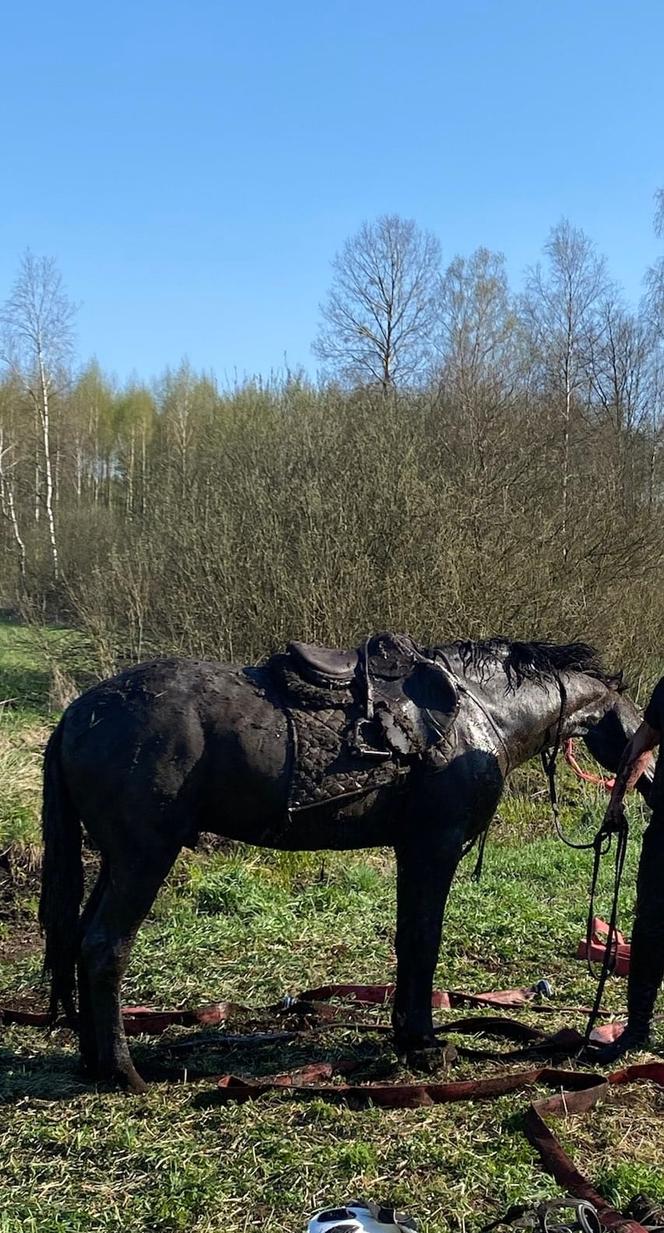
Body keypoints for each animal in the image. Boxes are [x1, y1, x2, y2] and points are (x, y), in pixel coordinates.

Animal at [38, 636, 650, 1089]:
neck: (484, 714)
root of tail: (77, 715)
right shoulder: (434, 847)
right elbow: (424, 940)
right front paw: (423, 1044)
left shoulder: (414, 850)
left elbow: (408, 941)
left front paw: (408, 1036)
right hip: (144, 857)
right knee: (105, 947)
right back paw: (123, 1072)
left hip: (117, 861)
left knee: (81, 940)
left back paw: (94, 1063)